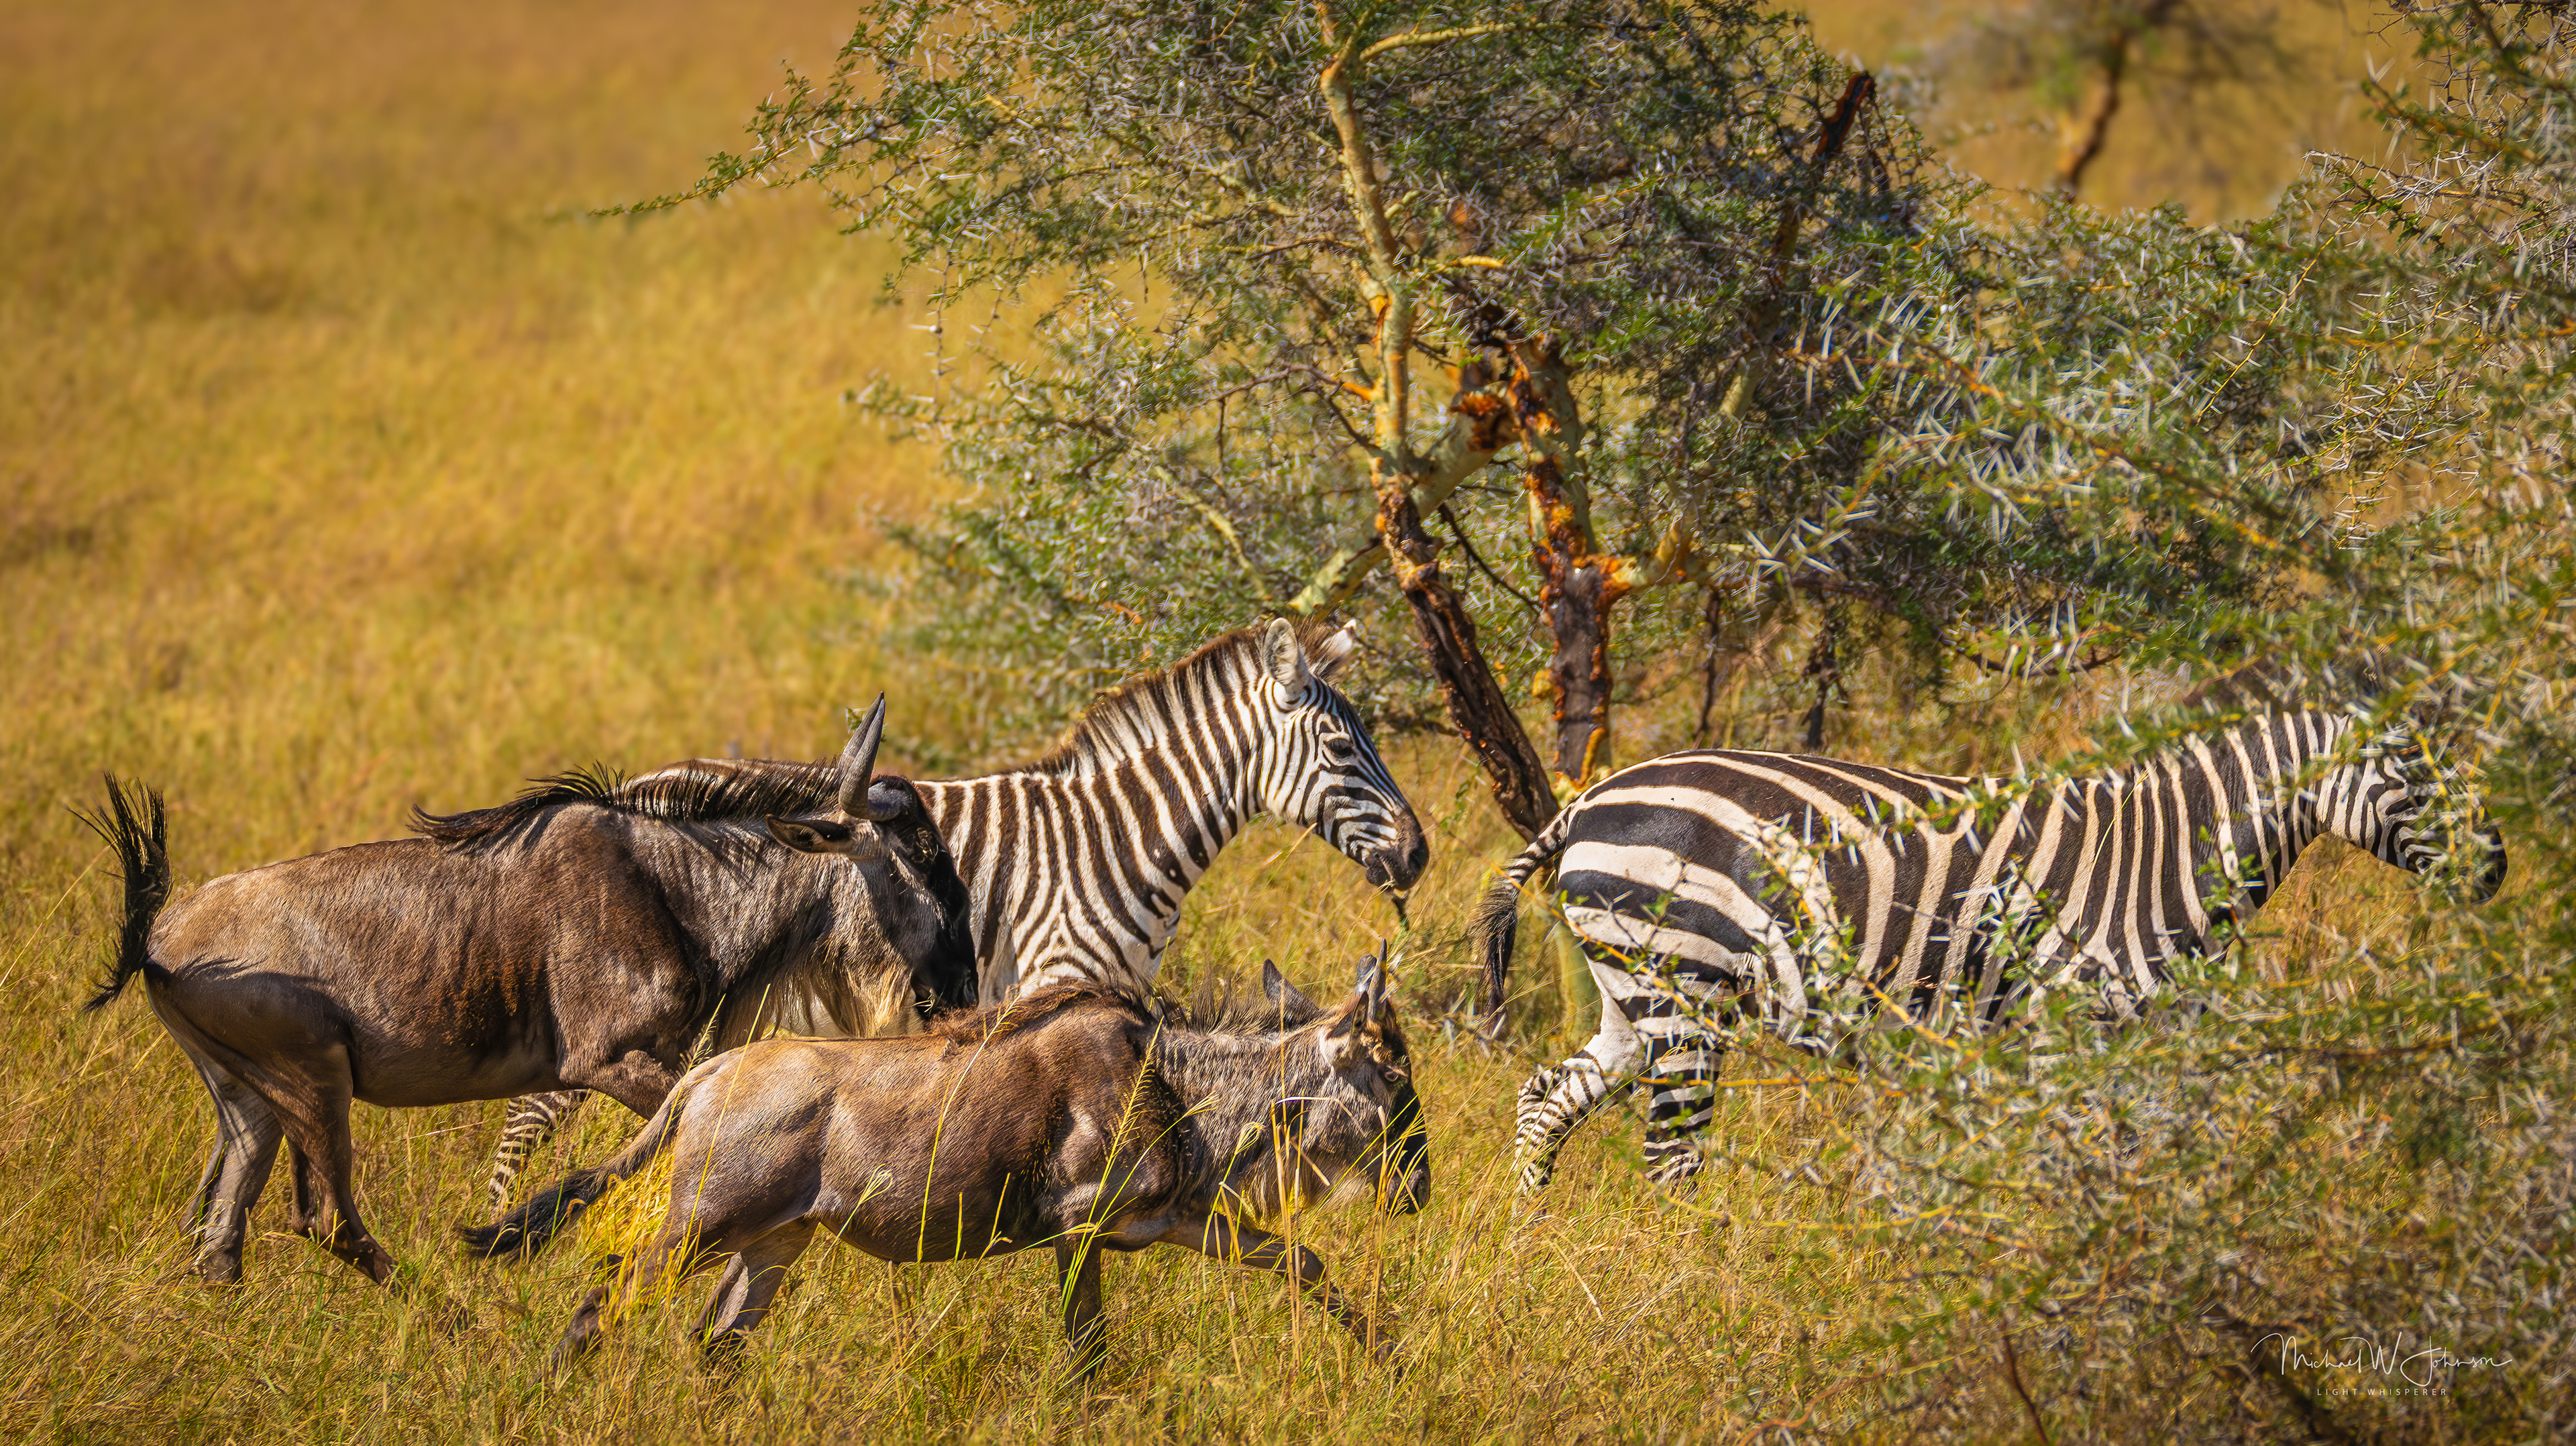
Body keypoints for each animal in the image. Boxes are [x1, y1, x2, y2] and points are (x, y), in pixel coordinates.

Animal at [480, 619, 1428, 1212]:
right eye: (1341, 748)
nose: (1420, 853)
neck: (1112, 840)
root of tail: (624, 786)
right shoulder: (1050, 985)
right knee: (529, 1119)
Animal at [1480, 699, 2507, 1193]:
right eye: (2410, 767)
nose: (2498, 869)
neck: (2171, 848)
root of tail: (1589, 796)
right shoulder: (2067, 1021)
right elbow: (2073, 1159)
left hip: (1636, 991)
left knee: (1547, 1095)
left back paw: (1532, 1232)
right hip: (1682, 987)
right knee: (1671, 1156)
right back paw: (1691, 1281)